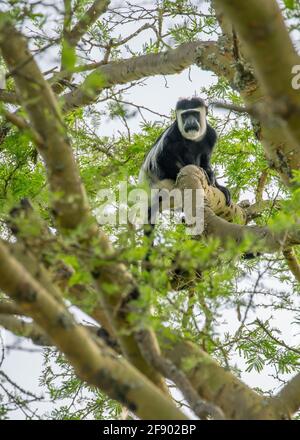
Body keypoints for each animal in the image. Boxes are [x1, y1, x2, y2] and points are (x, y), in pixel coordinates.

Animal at [139, 96, 232, 227]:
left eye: (194, 114)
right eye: (185, 115)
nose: (190, 122)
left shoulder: (211, 134)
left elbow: (206, 161)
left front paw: (218, 185)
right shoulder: (173, 134)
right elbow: (163, 157)